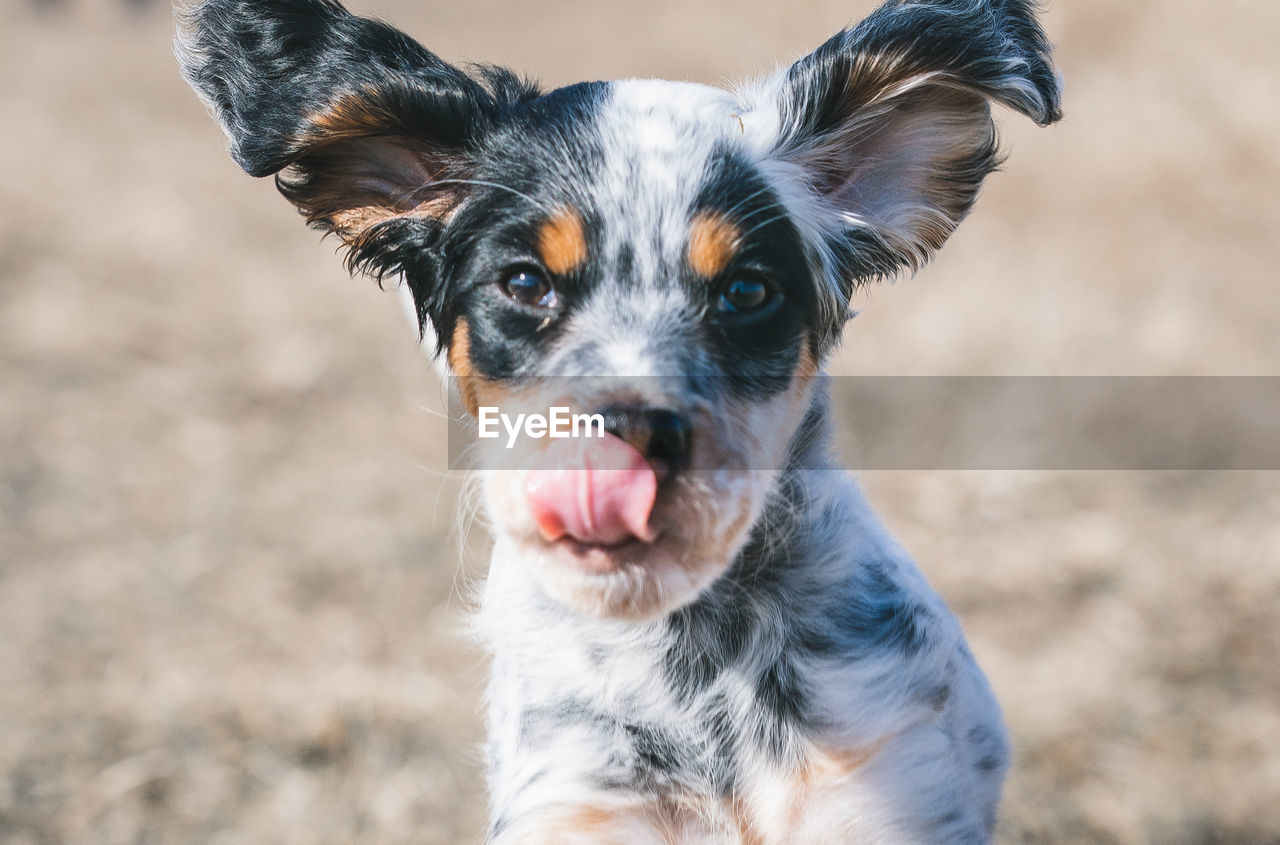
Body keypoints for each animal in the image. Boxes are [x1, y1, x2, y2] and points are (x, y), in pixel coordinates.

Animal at [180, 3, 1059, 839]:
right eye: (524, 283)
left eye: (747, 291)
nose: (629, 443)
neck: (694, 665)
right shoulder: (580, 800)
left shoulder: (891, 789)